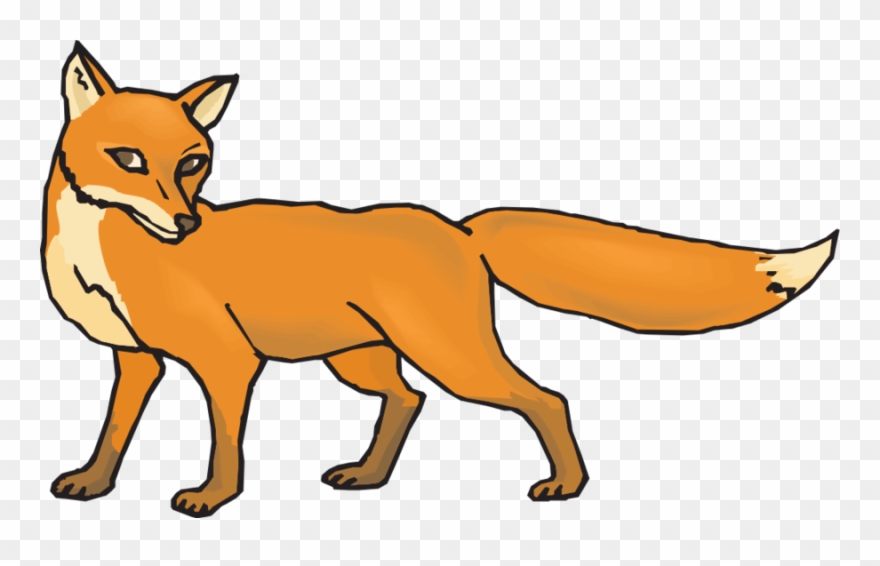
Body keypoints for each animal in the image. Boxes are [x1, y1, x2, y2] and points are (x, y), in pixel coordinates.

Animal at [43, 42, 838, 518]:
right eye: (129, 158)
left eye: (193, 162)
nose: (186, 225)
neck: (98, 255)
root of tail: (458, 227)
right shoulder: (135, 359)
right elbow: (113, 432)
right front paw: (92, 485)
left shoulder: (226, 360)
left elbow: (223, 443)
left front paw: (214, 497)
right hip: (360, 359)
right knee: (408, 400)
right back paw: (369, 477)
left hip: (451, 357)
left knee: (544, 397)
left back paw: (567, 486)